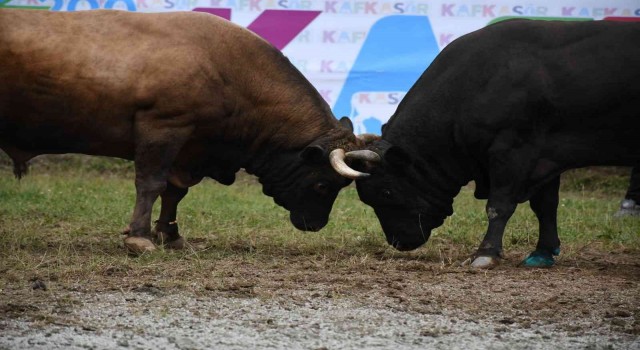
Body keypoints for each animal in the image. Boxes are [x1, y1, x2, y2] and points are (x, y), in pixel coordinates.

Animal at [350, 19, 640, 268]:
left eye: (387, 192)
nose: (397, 242)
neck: (478, 81)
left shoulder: (513, 151)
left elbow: (498, 206)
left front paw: (486, 252)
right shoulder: (546, 158)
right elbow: (545, 206)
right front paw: (543, 252)